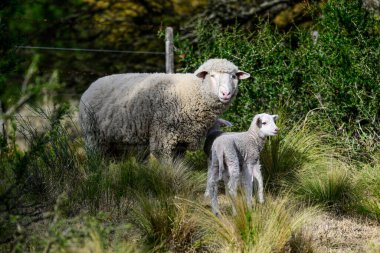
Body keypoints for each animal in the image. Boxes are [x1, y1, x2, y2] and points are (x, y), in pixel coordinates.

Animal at [79, 59, 251, 158]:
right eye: (212, 76)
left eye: (233, 76)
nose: (226, 93)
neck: (191, 92)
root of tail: (92, 85)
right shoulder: (163, 137)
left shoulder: (181, 142)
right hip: (92, 135)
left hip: (113, 140)